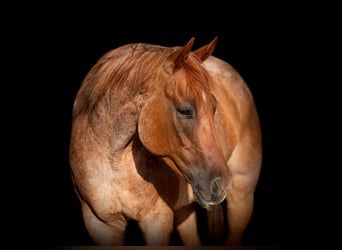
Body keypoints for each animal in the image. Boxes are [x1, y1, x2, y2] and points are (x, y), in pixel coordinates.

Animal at [69, 37, 262, 246]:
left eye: (214, 106)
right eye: (185, 110)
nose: (220, 184)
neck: (114, 164)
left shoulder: (157, 220)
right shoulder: (101, 225)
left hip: (241, 197)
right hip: (185, 211)